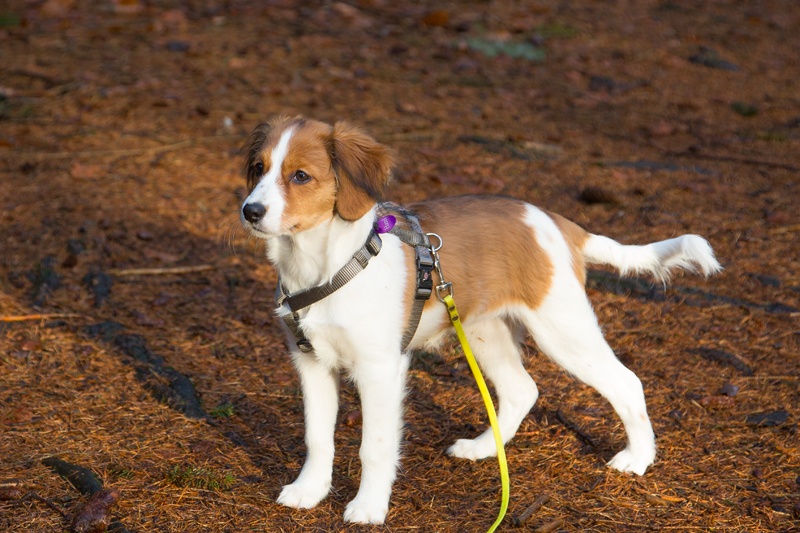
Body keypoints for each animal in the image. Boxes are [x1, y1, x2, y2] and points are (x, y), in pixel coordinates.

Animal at [241, 115, 720, 524]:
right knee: (523, 389)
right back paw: (485, 449)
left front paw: (369, 508)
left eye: (300, 176)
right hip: (485, 332)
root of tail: (560, 223)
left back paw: (637, 459)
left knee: (627, 382)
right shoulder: (311, 362)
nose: (249, 211)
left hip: (562, 331)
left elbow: (374, 446)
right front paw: (310, 491)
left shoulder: (381, 369)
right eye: (259, 168)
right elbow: (317, 436)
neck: (327, 264)